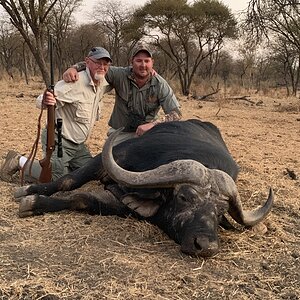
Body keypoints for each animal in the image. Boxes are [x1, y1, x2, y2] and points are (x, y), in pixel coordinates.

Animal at [15, 119, 274, 258]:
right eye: (184, 197)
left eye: (220, 212)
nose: (205, 246)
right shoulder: (106, 159)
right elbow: (68, 181)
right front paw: (29, 194)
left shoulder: (124, 205)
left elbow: (83, 199)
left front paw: (36, 202)